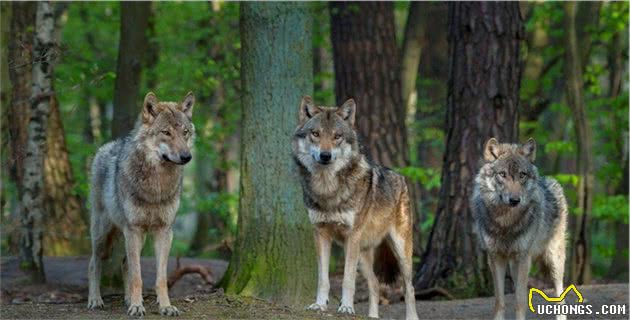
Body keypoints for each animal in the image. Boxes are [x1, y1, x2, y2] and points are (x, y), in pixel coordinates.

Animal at [85, 91, 196, 316]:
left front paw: (165, 306)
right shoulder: (134, 230)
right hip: (104, 235)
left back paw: (128, 299)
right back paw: (95, 300)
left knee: (125, 264)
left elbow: (160, 278)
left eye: (185, 132)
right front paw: (137, 307)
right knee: (94, 263)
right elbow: (138, 276)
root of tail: (104, 147)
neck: (157, 186)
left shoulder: (164, 232)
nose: (186, 156)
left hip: (134, 236)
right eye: (166, 132)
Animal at [292, 97, 420, 320]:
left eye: (337, 136)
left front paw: (346, 308)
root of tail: (401, 177)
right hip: (362, 254)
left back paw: (412, 317)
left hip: (400, 251)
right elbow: (323, 278)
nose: (325, 155)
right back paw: (373, 316)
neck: (328, 189)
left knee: (409, 288)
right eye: (315, 133)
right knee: (375, 284)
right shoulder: (321, 233)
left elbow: (347, 279)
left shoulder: (351, 236)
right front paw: (319, 305)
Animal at [472, 137, 572, 320]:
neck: (506, 222)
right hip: (513, 264)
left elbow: (520, 300)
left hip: (554, 258)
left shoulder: (524, 257)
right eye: (502, 174)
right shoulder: (495, 257)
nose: (514, 200)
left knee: (560, 295)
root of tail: (550, 181)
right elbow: (500, 301)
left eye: (522, 175)